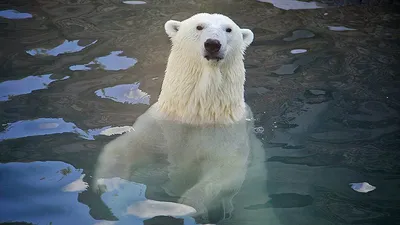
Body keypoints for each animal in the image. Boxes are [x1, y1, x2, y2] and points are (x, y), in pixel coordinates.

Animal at [92, 13, 264, 224]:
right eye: (199, 26)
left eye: (228, 29)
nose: (213, 44)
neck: (197, 115)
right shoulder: (160, 125)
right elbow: (123, 148)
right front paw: (111, 184)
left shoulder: (229, 134)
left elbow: (226, 171)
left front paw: (187, 205)